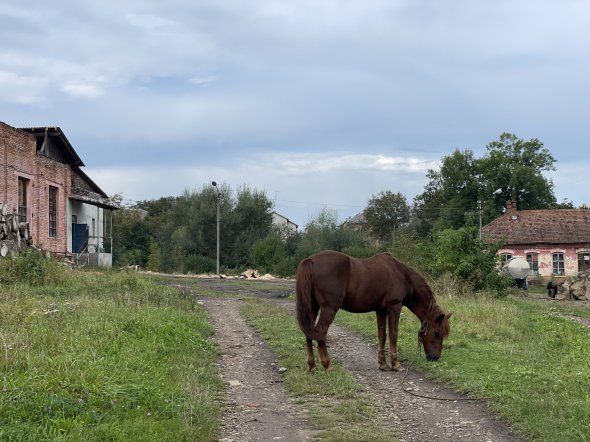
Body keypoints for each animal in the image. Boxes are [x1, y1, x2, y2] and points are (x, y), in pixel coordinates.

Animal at [296, 250, 454, 372]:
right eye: (437, 332)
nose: (435, 357)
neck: (402, 275)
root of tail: (310, 261)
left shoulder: (381, 311)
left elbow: (382, 335)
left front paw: (383, 364)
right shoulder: (394, 308)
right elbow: (393, 335)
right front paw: (396, 365)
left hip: (313, 307)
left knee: (309, 332)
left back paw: (312, 366)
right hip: (329, 309)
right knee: (320, 332)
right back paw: (327, 365)